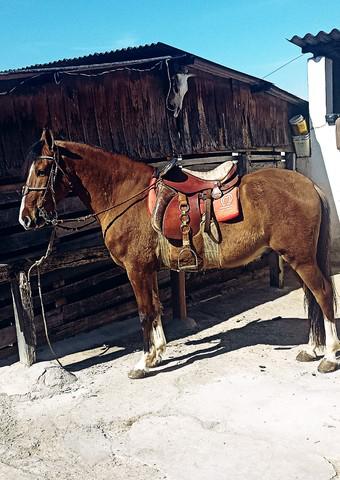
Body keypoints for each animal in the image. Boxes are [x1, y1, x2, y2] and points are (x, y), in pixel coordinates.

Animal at [19, 129, 340, 376]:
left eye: (43, 170)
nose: (26, 218)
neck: (127, 196)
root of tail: (309, 185)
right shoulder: (148, 269)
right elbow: (156, 307)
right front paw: (157, 353)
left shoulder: (136, 269)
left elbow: (144, 312)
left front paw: (143, 363)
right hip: (298, 258)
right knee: (312, 296)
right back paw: (312, 349)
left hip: (300, 258)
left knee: (323, 293)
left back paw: (328, 356)